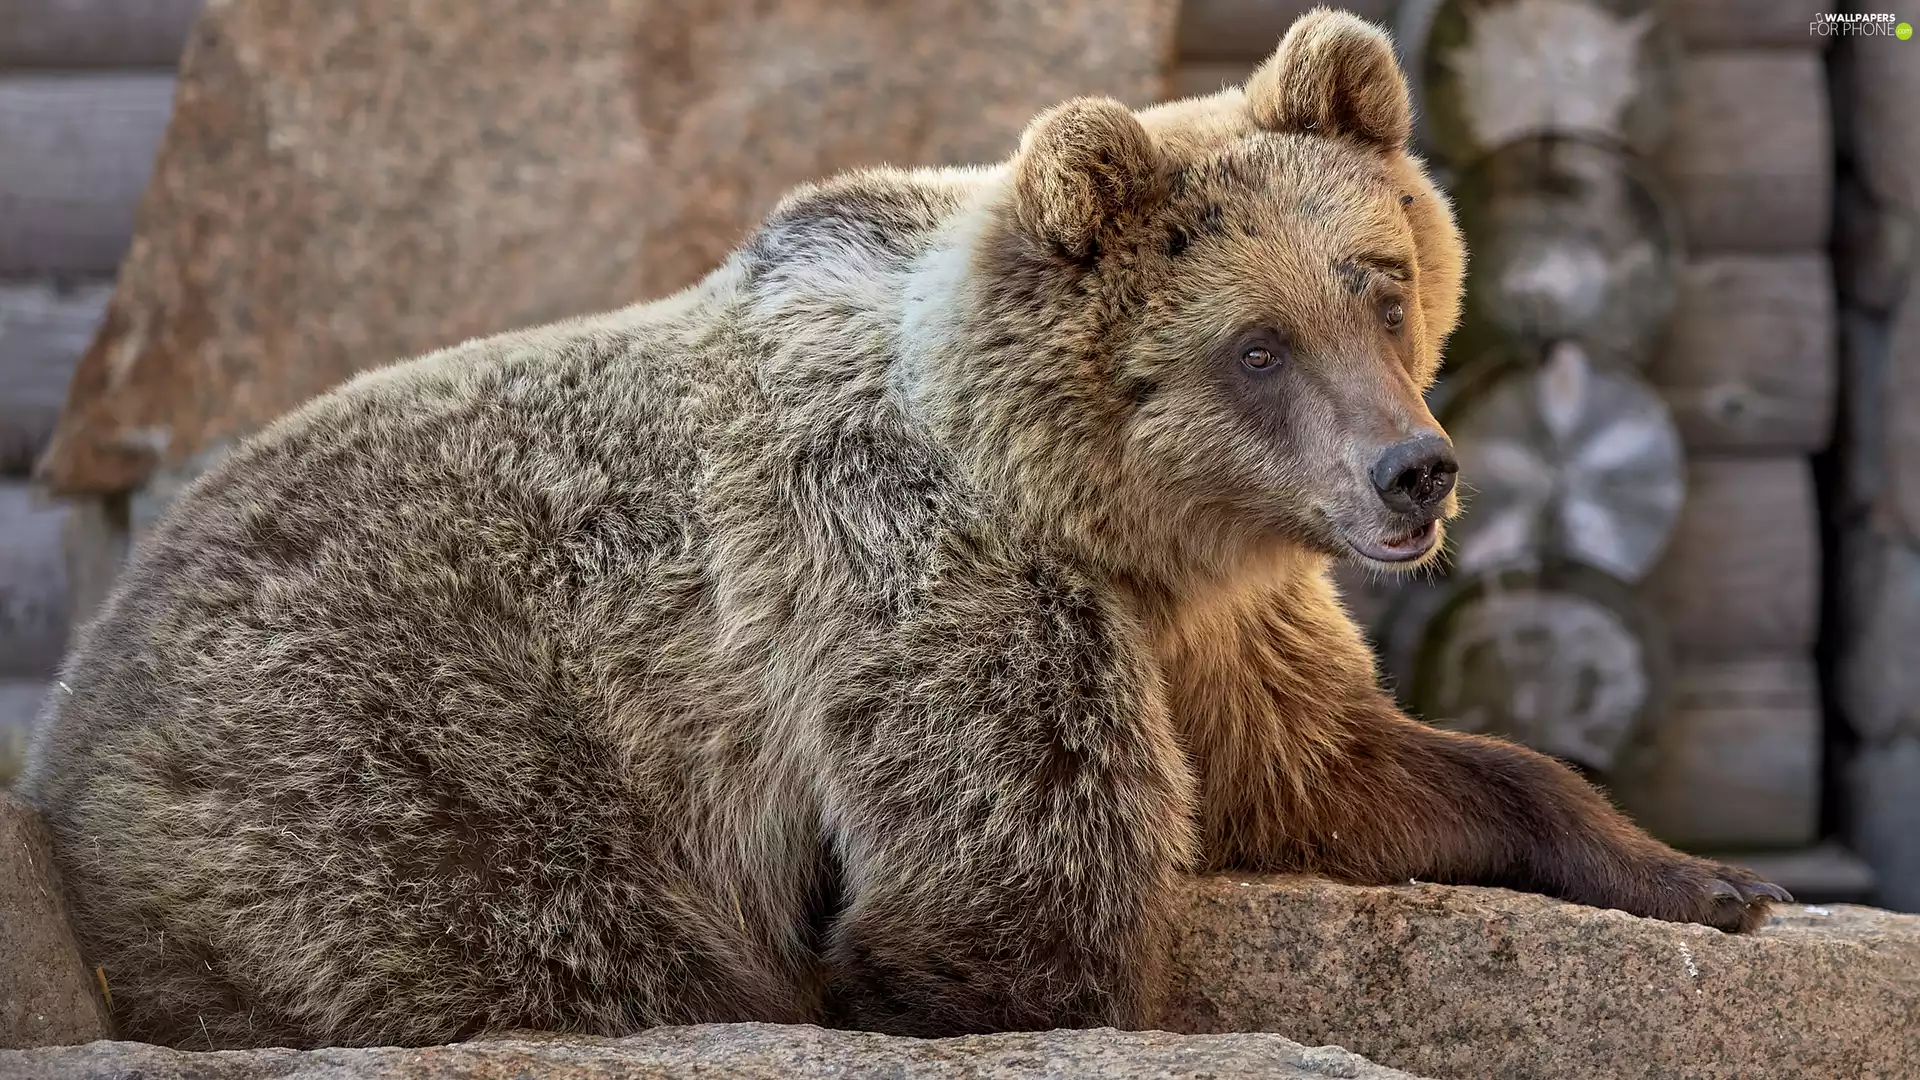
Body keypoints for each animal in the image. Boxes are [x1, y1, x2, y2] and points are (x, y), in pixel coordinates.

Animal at [23, 7, 1786, 1051]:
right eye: (1255, 344)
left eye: (1380, 279)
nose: (1415, 471)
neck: (1110, 511)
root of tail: (81, 691)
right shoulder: (926, 580)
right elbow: (1019, 898)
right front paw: (886, 974)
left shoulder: (1219, 623)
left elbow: (1347, 768)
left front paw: (1699, 878)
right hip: (387, 765)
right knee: (538, 931)